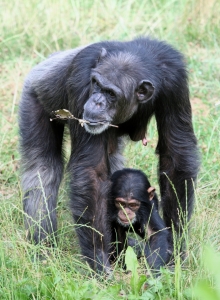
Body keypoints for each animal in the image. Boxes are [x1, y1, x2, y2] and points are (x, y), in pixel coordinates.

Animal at [19, 36, 200, 274]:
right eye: (96, 84)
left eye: (111, 93)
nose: (96, 101)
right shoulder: (81, 81)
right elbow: (91, 171)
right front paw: (99, 262)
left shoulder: (175, 82)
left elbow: (176, 154)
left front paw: (176, 249)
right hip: (34, 96)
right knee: (42, 167)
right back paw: (43, 247)